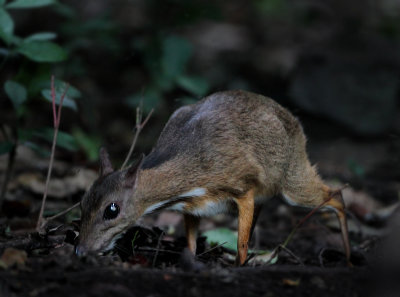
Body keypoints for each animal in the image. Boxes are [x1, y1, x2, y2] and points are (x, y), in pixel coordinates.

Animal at [76, 89, 350, 264]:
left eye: (112, 209)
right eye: (82, 203)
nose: (80, 250)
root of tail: (296, 122)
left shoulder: (243, 186)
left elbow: (240, 245)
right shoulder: (192, 207)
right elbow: (191, 244)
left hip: (293, 178)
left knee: (336, 195)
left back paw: (347, 259)